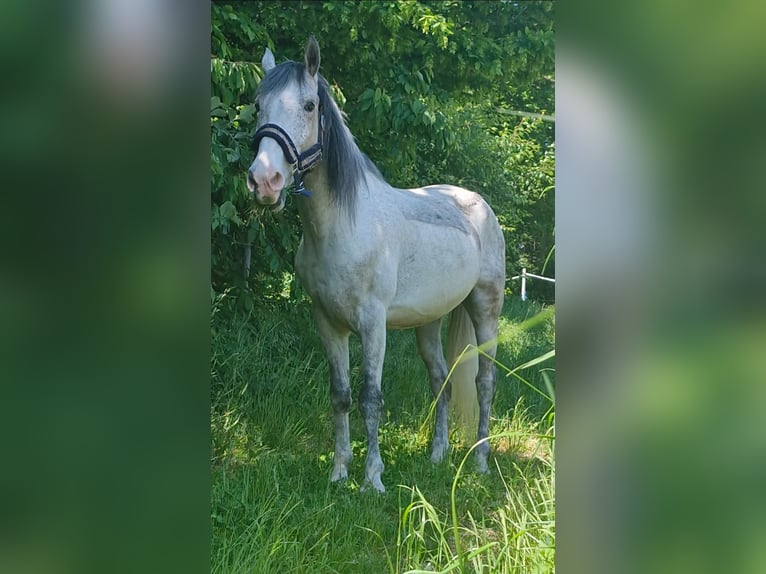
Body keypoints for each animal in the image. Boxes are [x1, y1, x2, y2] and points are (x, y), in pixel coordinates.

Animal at [247, 37, 506, 493]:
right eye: (258, 105)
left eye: (310, 105)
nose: (265, 181)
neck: (343, 227)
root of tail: (479, 206)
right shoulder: (327, 323)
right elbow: (341, 395)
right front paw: (339, 472)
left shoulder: (373, 324)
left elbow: (371, 397)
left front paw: (373, 479)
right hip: (429, 322)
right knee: (441, 381)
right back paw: (437, 456)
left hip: (485, 309)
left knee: (484, 382)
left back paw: (479, 462)